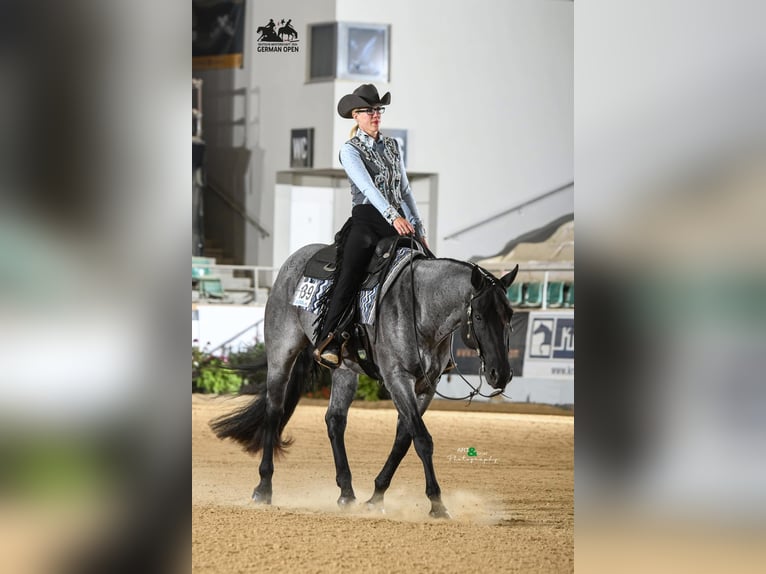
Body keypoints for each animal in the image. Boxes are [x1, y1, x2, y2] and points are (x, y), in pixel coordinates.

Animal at [210, 241, 519, 518]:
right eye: (478, 317)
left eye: (510, 315)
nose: (501, 373)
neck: (419, 308)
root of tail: (294, 260)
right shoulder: (397, 378)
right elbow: (422, 439)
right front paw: (437, 504)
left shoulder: (425, 386)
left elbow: (404, 439)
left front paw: (376, 497)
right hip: (281, 353)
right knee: (274, 411)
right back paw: (264, 488)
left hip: (344, 370)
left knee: (335, 420)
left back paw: (347, 494)